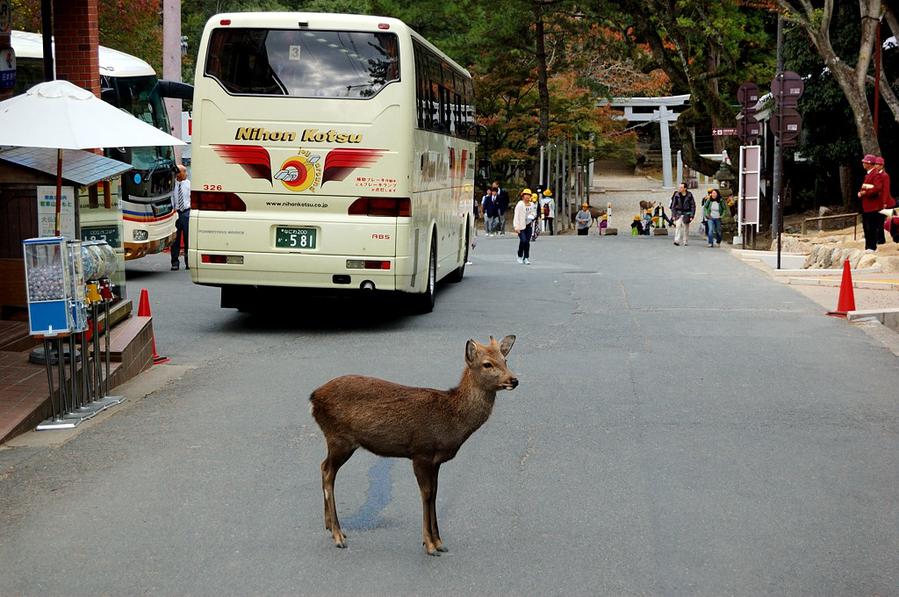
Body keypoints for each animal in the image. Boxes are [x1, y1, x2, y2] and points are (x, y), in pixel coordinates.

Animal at [312, 336, 516, 556]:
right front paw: (430, 545)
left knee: (323, 466)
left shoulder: (436, 460)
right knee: (328, 471)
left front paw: (439, 542)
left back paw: (330, 526)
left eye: (505, 360)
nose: (514, 380)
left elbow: (434, 493)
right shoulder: (421, 452)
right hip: (339, 438)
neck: (451, 420)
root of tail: (313, 398)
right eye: (487, 364)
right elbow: (426, 494)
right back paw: (338, 535)